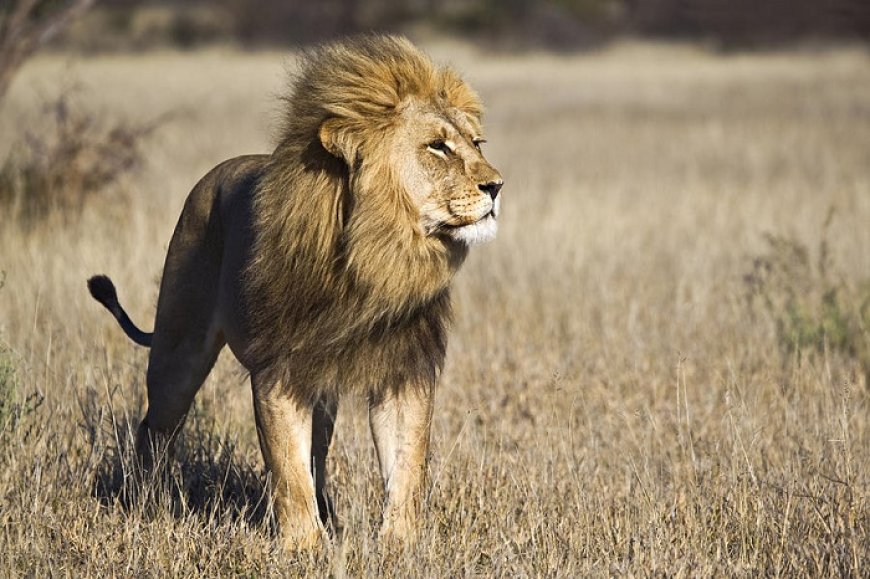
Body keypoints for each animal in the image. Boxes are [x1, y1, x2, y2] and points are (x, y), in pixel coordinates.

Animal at [87, 35, 502, 550]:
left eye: (476, 143)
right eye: (437, 147)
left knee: (318, 454)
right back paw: (145, 501)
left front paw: (399, 547)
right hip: (178, 354)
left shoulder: (403, 368)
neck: (374, 259)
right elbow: (287, 467)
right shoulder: (277, 370)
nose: (496, 186)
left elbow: (407, 468)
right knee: (154, 427)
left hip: (319, 387)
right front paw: (305, 547)